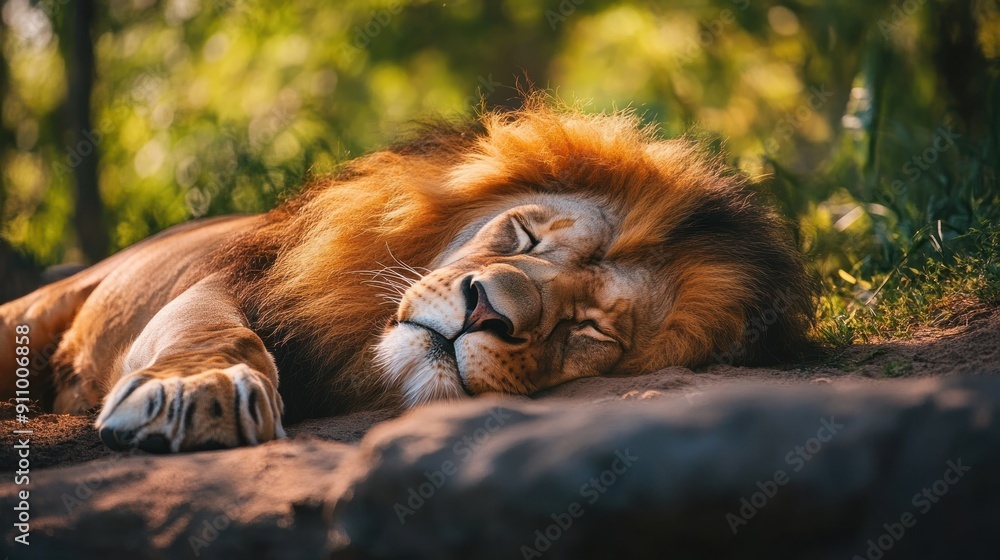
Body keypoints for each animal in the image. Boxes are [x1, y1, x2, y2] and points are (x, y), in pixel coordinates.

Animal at [0, 100, 813, 453]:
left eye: (589, 329)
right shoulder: (231, 283)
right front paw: (196, 393)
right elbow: (212, 331)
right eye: (527, 236)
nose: (488, 310)